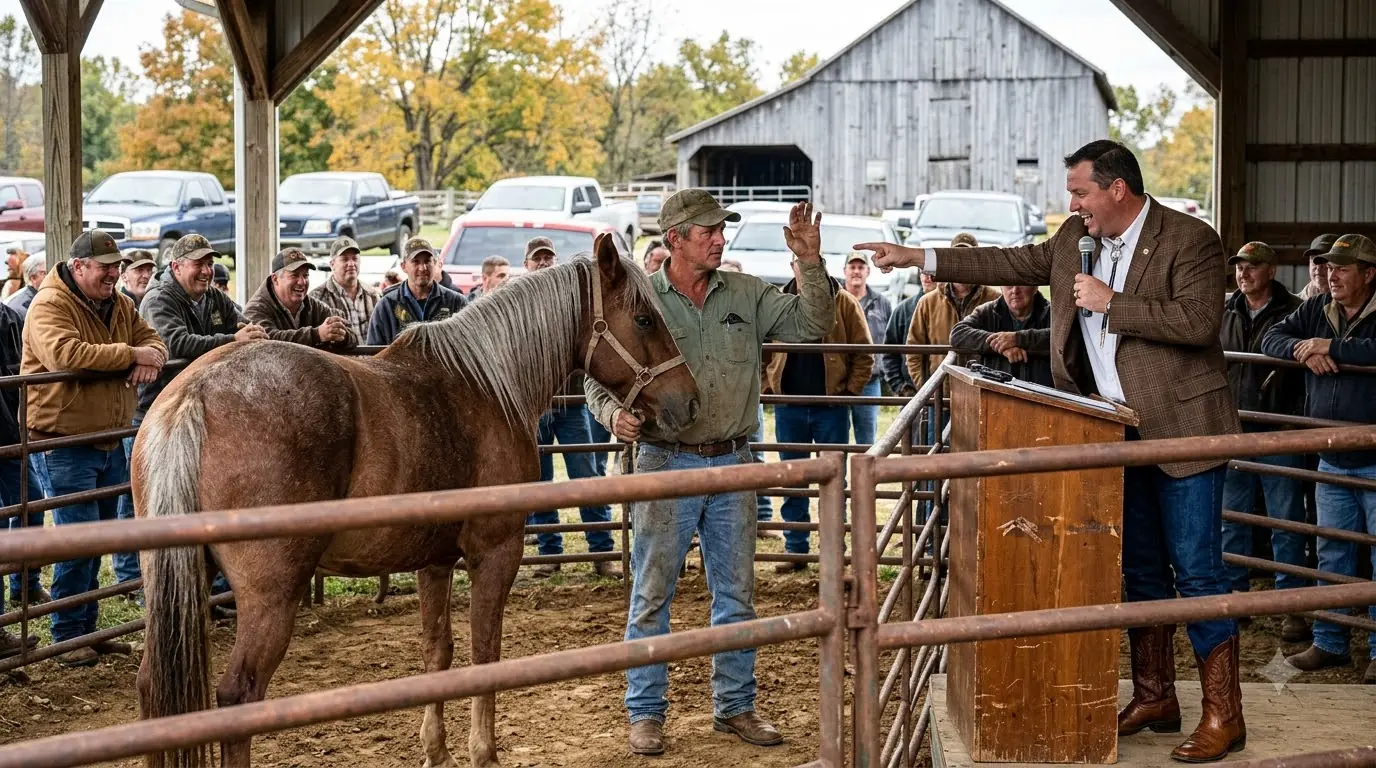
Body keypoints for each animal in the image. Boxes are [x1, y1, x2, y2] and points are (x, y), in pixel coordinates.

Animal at [133, 233, 699, 768]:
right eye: (645, 318)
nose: (690, 402)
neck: (485, 383)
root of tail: (193, 396)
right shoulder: (496, 551)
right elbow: (485, 651)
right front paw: (483, 752)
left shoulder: (435, 561)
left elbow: (437, 654)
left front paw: (437, 750)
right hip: (272, 594)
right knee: (239, 695)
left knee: (152, 688)